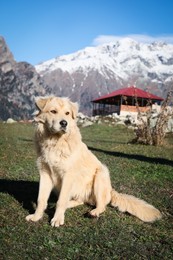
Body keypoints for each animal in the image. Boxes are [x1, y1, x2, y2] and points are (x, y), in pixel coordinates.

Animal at [25, 96, 162, 226]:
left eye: (67, 113)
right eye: (53, 111)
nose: (64, 123)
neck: (54, 141)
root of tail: (111, 191)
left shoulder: (68, 175)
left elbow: (61, 201)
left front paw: (58, 219)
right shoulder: (45, 174)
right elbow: (41, 199)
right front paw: (36, 216)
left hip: (101, 174)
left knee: (101, 205)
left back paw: (94, 212)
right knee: (81, 200)